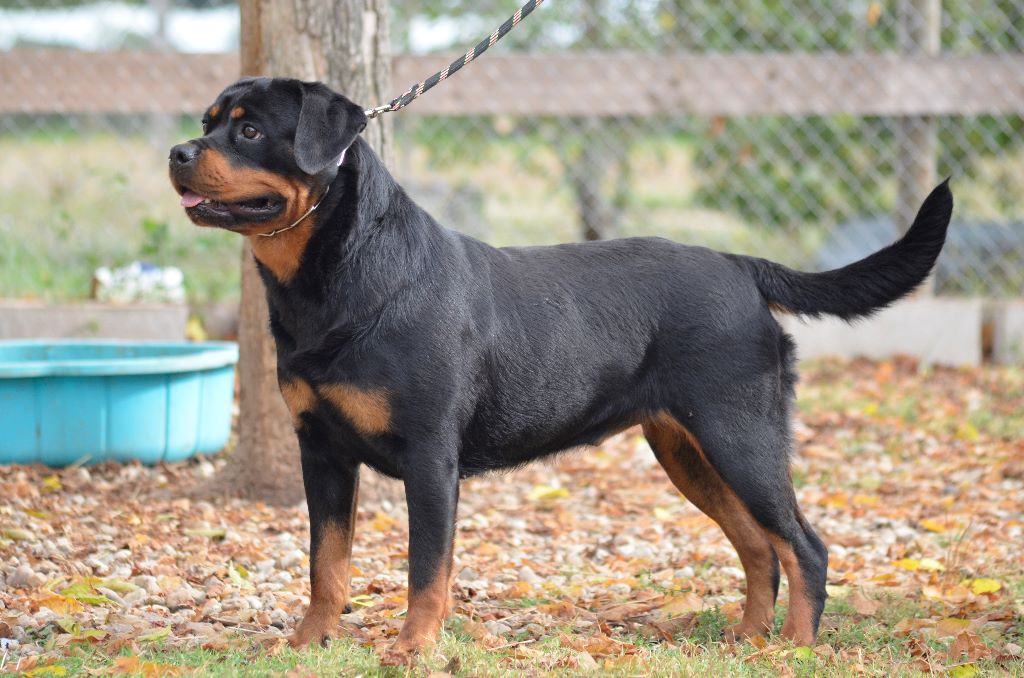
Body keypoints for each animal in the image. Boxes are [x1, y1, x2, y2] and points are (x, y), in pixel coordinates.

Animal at [169, 77, 953, 664]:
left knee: (804, 545)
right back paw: (747, 639)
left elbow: (427, 569)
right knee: (760, 546)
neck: (333, 280)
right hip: (687, 449)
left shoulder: (430, 456)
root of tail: (738, 266)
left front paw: (414, 647)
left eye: (248, 131)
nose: (178, 151)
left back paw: (792, 649)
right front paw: (309, 642)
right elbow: (325, 561)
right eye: (208, 123)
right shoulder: (322, 449)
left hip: (741, 436)